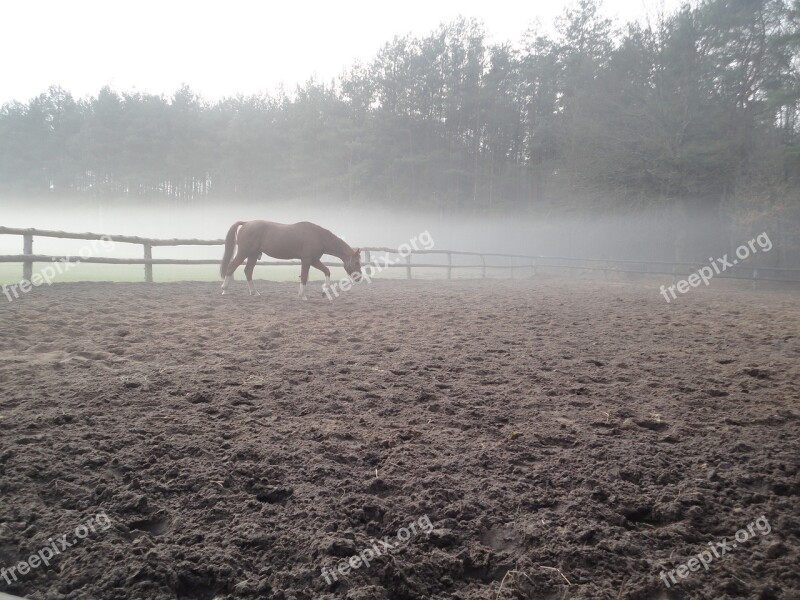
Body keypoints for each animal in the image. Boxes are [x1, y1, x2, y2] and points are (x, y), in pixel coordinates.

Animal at [219, 219, 362, 298]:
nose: (359, 277)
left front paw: (324, 291)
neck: (318, 236)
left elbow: (327, 271)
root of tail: (246, 223)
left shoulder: (314, 260)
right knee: (231, 268)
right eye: (356, 262)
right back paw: (224, 290)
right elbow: (304, 277)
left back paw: (254, 292)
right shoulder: (307, 260)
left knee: (248, 271)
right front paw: (302, 296)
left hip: (253, 255)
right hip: (244, 253)